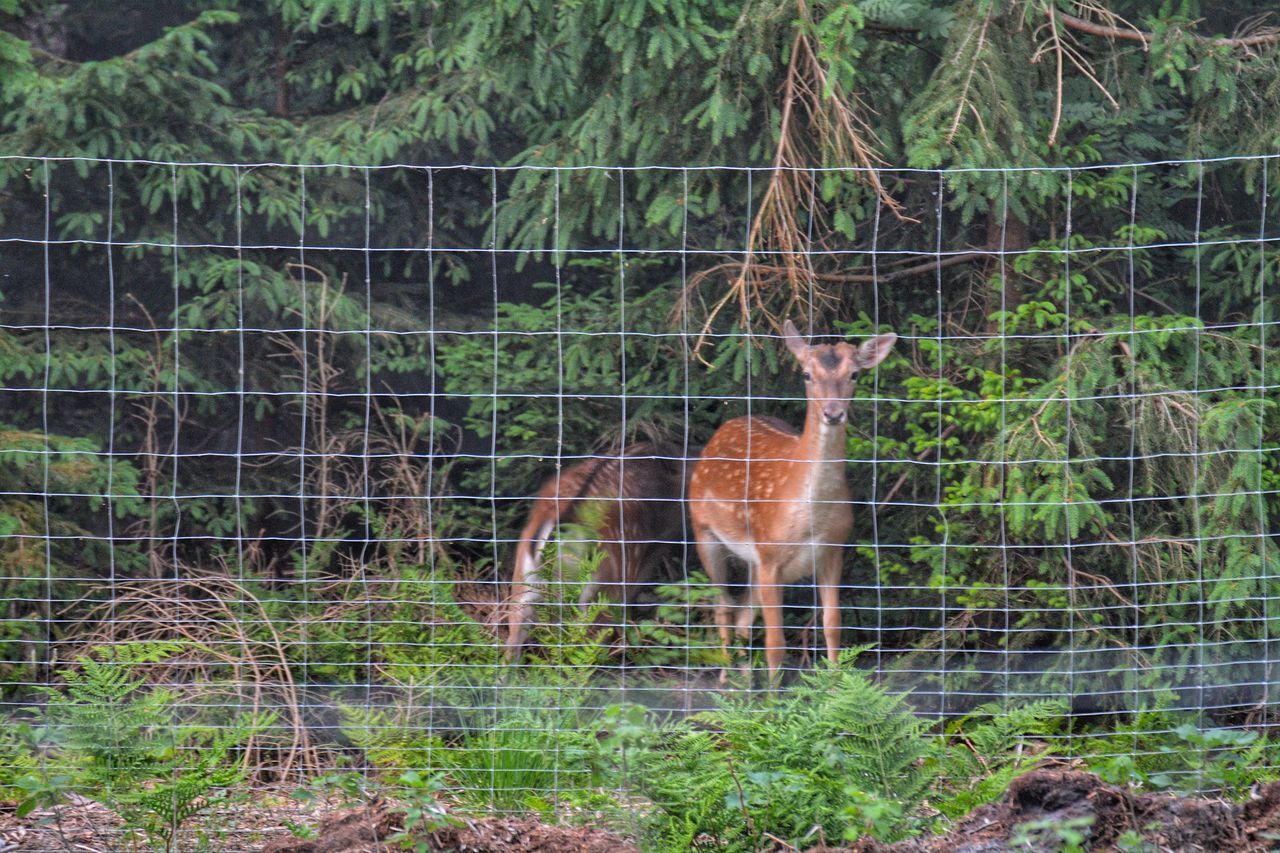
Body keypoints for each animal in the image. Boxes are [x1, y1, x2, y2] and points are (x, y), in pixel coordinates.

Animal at [691, 318, 890, 676]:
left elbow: (833, 624)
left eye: (854, 374)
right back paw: (726, 680)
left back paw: (743, 681)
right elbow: (775, 644)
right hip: (704, 532)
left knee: (742, 615)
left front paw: (835, 683)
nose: (833, 413)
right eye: (807, 375)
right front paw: (775, 693)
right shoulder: (771, 556)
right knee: (723, 608)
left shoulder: (832, 549)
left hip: (752, 561)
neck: (811, 516)